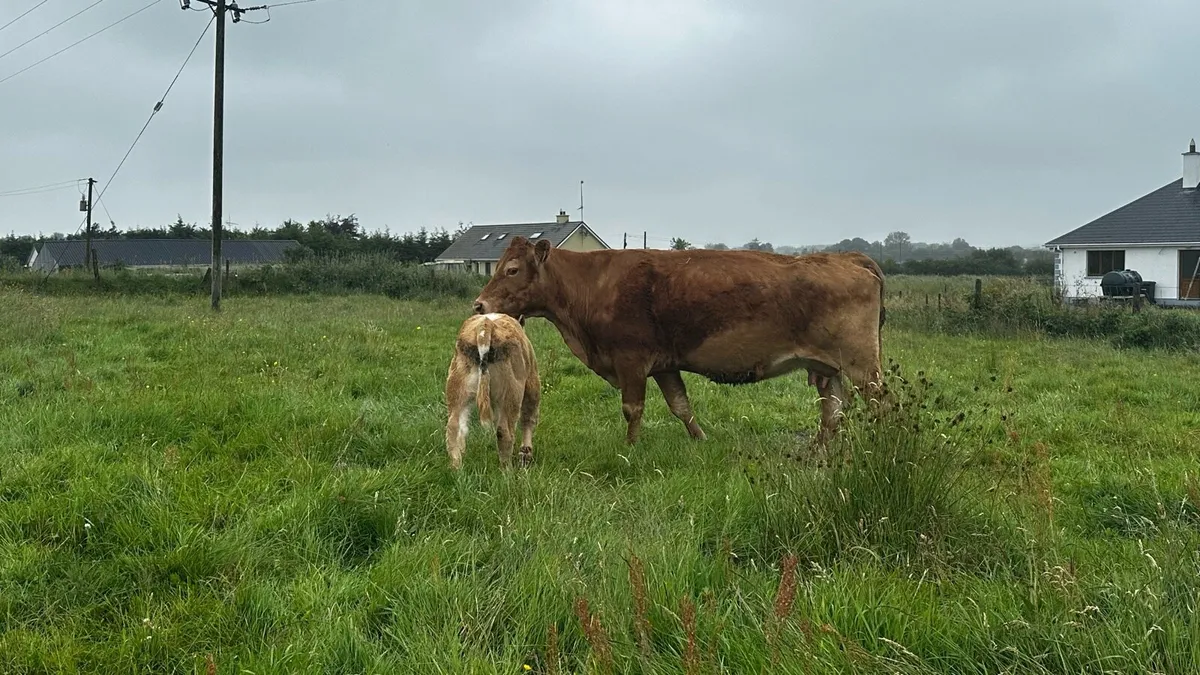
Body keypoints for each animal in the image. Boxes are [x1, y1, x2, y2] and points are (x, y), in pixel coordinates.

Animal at [444, 312, 541, 470]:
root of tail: (486, 324)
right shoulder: (532, 382)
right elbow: (529, 418)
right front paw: (525, 455)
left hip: (457, 390)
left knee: (454, 426)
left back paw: (456, 467)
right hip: (511, 393)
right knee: (504, 430)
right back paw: (507, 470)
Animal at [471, 237, 885, 450]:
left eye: (512, 269)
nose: (479, 305)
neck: (592, 284)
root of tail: (849, 257)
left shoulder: (630, 361)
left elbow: (633, 409)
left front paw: (630, 448)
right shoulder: (665, 365)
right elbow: (681, 406)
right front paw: (701, 440)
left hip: (863, 366)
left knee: (880, 402)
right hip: (829, 368)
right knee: (832, 413)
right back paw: (819, 450)